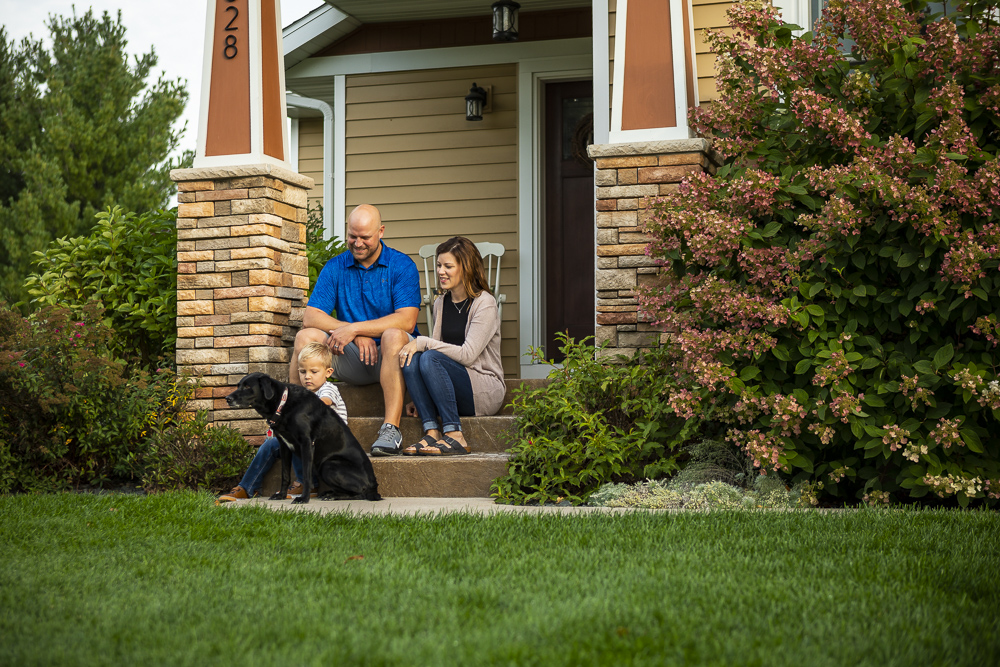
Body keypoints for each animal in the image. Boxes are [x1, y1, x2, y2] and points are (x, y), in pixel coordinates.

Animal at [226, 374, 378, 504]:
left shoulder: (306, 443)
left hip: (329, 465)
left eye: (247, 386)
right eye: (238, 385)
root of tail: (374, 485)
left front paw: (304, 499)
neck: (283, 403)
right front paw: (281, 495)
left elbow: (306, 475)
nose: (227, 398)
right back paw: (329, 493)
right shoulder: (284, 445)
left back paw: (333, 496)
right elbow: (285, 475)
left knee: (361, 493)